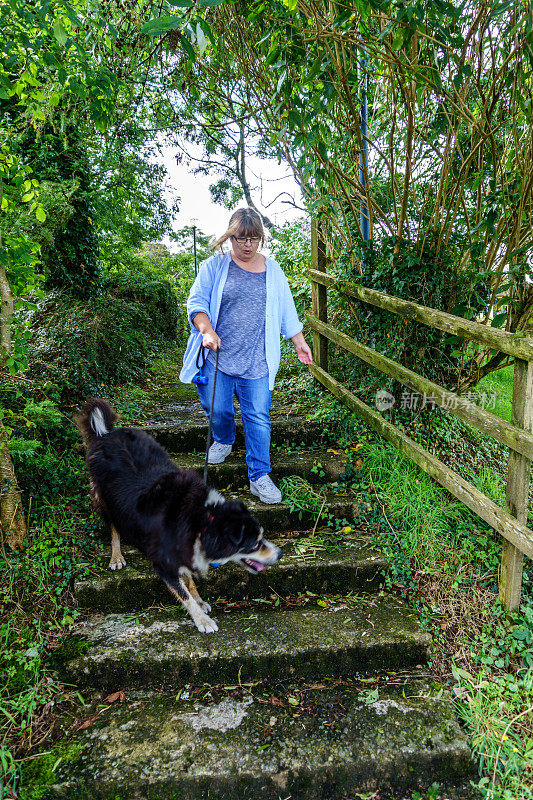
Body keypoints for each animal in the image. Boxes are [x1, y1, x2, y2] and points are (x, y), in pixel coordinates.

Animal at [76, 398, 282, 632]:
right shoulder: (163, 562)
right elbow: (183, 594)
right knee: (113, 527)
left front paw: (199, 600)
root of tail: (106, 434)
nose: (280, 554)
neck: (201, 522)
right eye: (255, 544)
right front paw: (202, 619)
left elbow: (189, 580)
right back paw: (117, 556)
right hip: (105, 499)